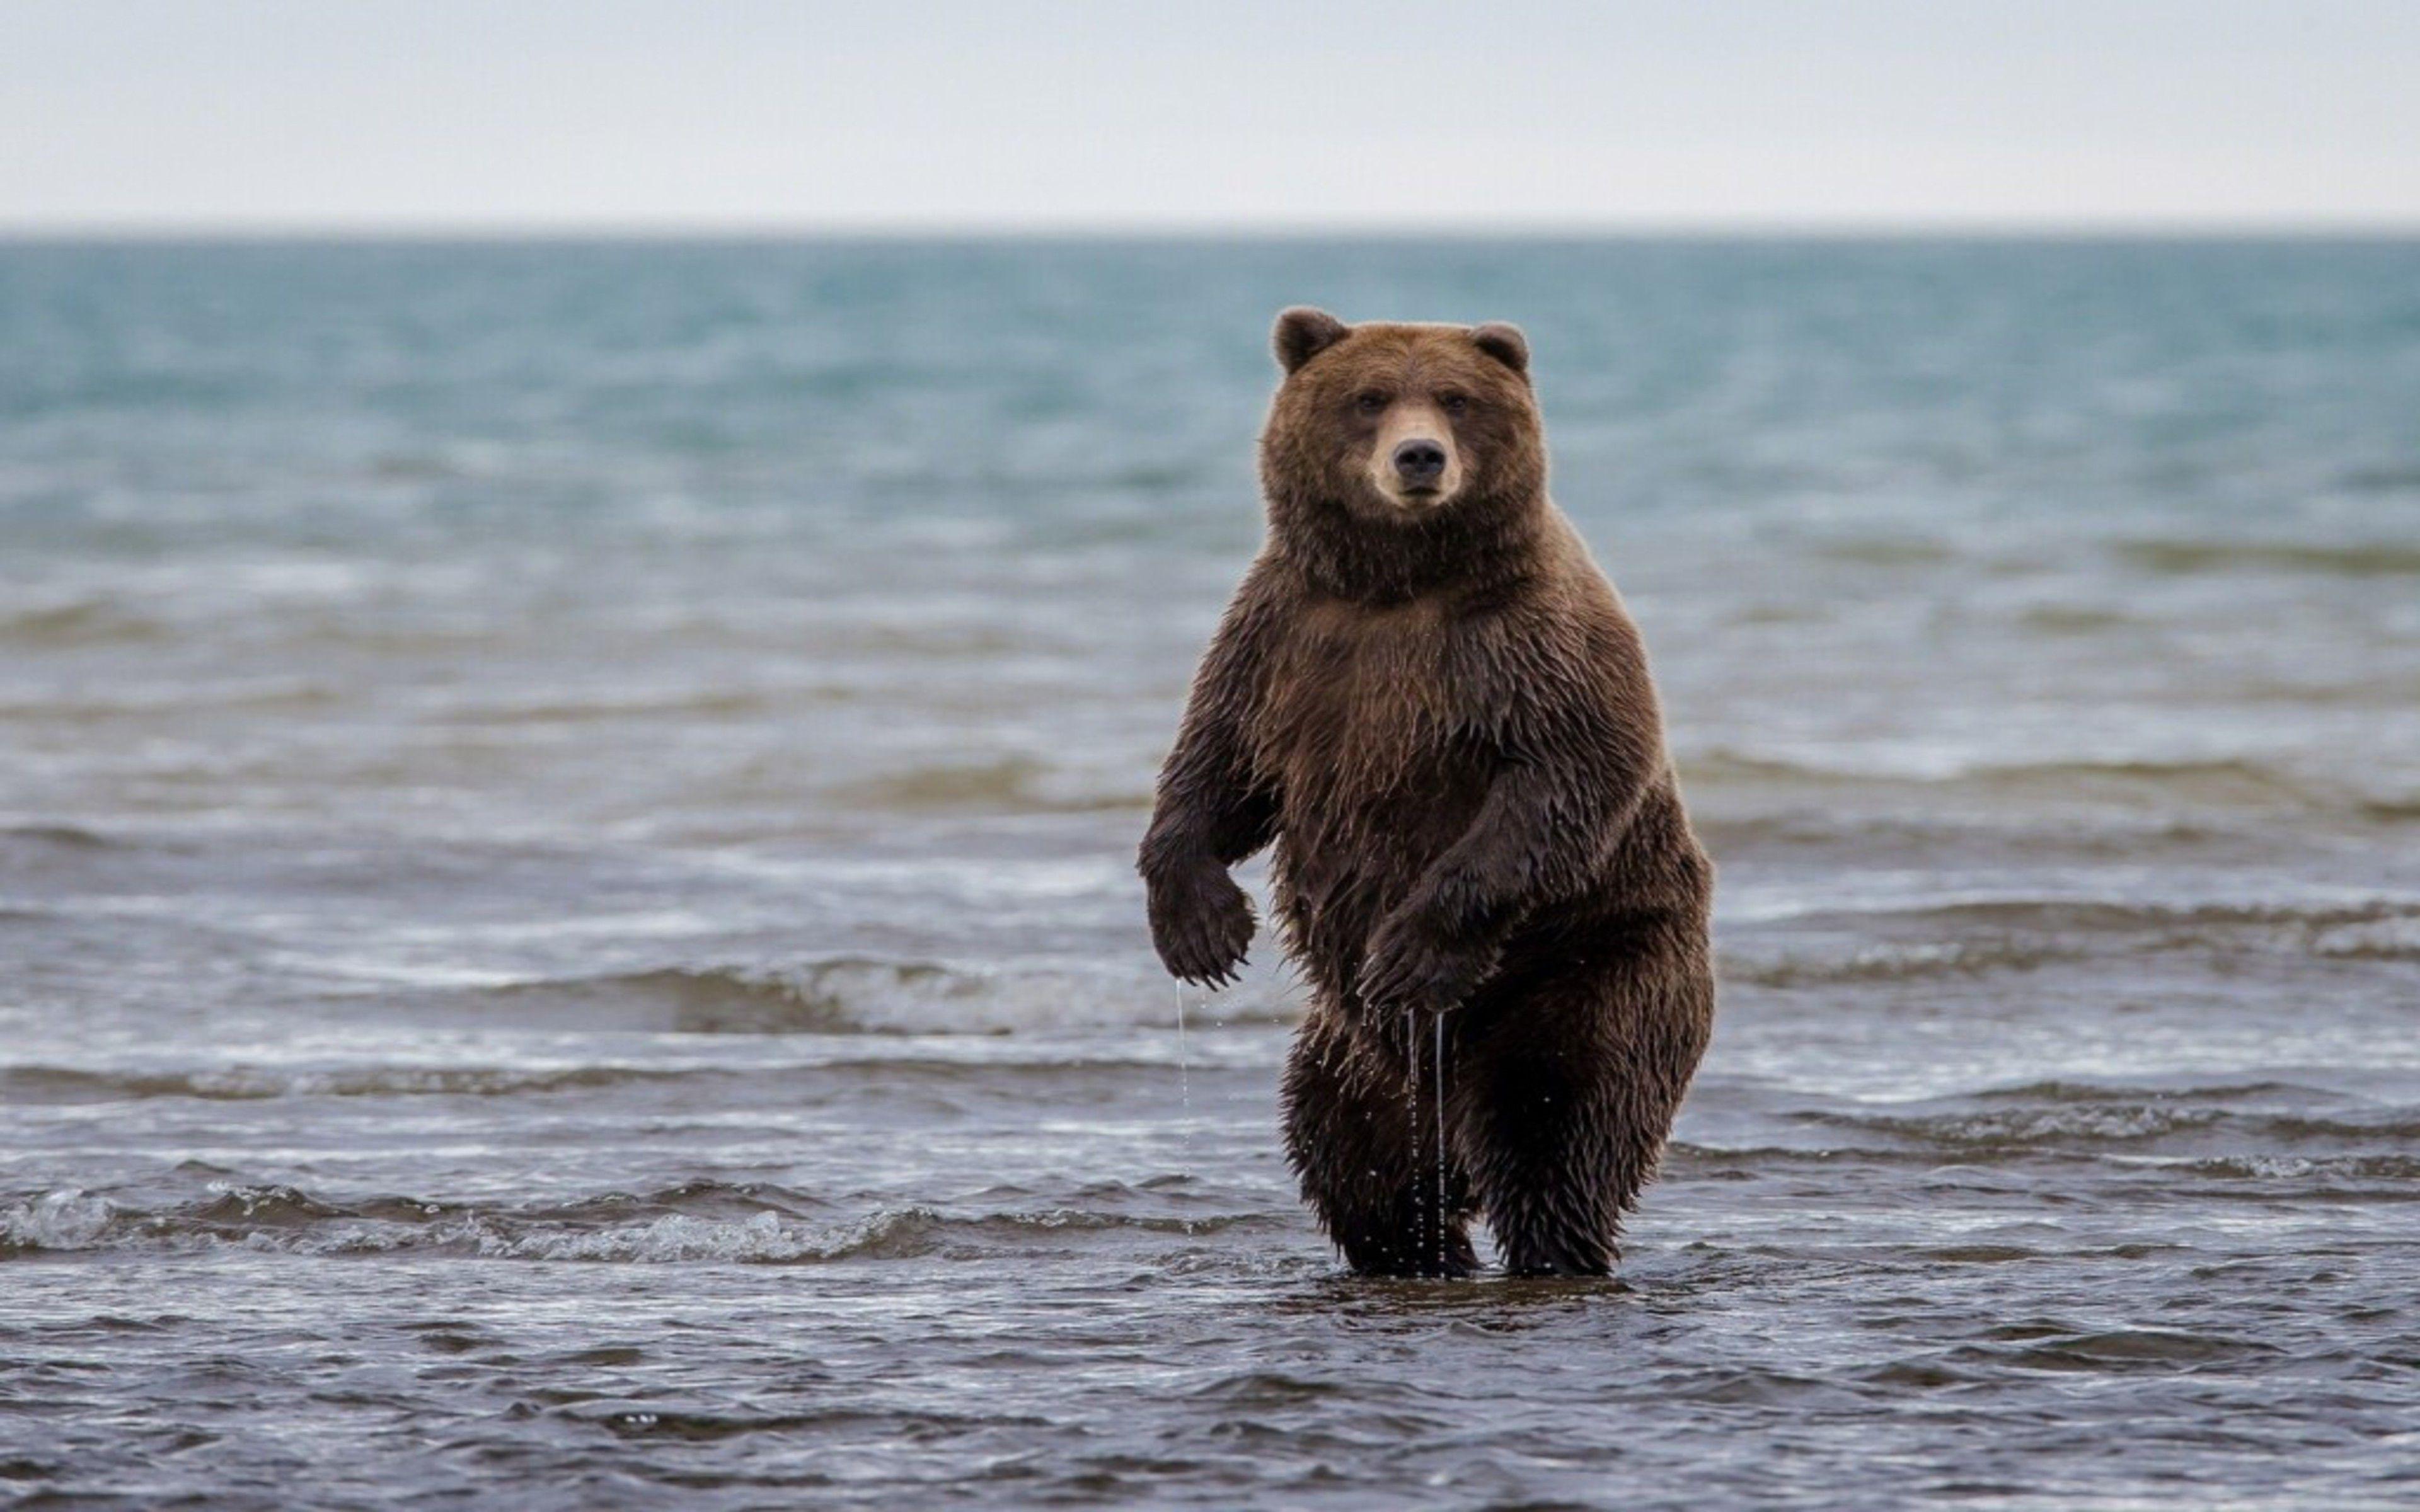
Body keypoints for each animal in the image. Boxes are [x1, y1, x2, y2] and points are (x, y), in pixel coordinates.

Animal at [1138, 306, 1715, 1278]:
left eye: (1454, 398)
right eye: (1370, 397)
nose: (1419, 457)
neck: (1396, 584)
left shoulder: (1529, 646)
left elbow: (1564, 780)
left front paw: (1411, 951)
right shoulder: (1283, 637)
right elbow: (1218, 768)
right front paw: (1202, 929)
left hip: (1597, 967)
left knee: (1559, 1129)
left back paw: (1551, 1241)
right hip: (1351, 1063)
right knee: (1352, 1163)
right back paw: (1422, 1245)